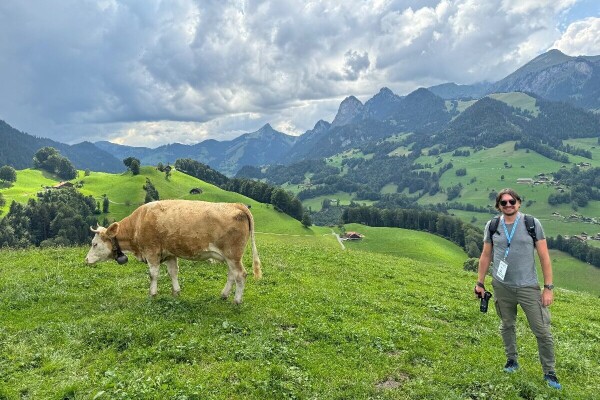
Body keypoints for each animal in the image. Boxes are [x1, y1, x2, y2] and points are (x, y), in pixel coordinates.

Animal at [85, 200, 262, 304]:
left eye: (94, 244)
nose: (86, 260)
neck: (138, 224)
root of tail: (236, 204)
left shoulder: (152, 251)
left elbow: (153, 274)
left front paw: (152, 294)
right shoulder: (170, 253)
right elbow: (173, 272)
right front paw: (176, 292)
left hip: (232, 254)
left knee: (240, 275)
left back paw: (237, 301)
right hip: (230, 257)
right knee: (232, 275)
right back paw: (224, 295)